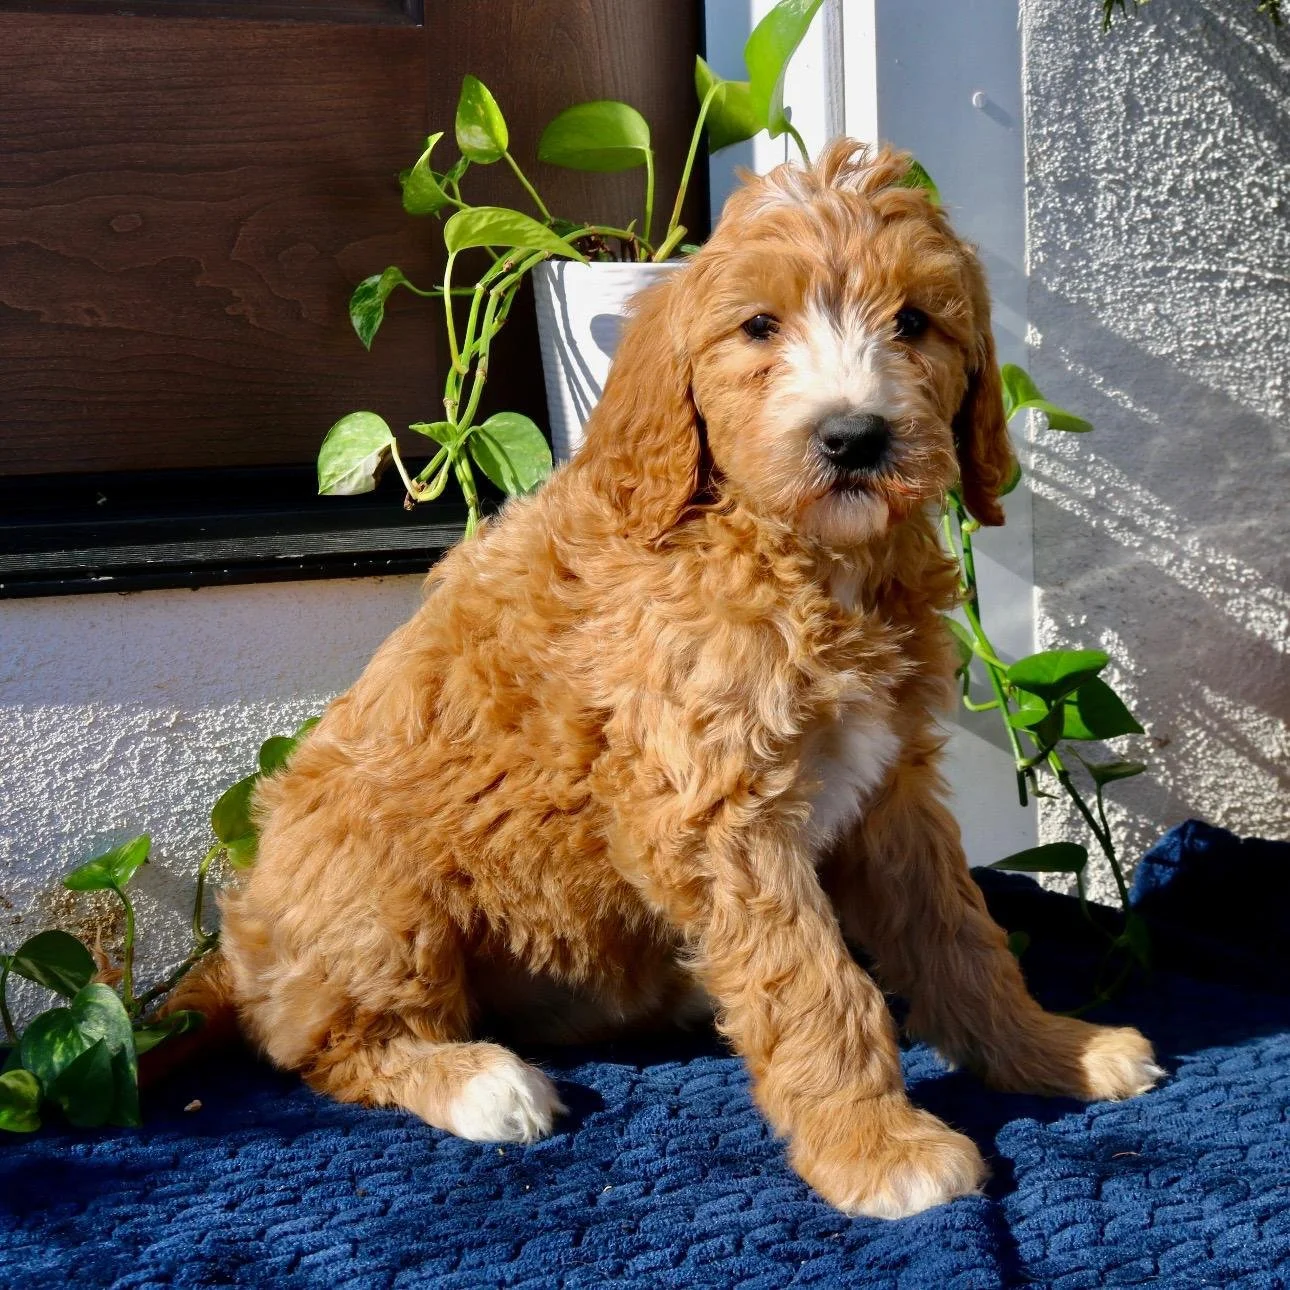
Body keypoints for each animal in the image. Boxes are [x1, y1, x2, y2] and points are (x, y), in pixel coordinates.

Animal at [178, 140, 1161, 1219]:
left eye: (914, 322)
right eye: (760, 326)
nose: (854, 437)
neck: (801, 559)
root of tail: (243, 956)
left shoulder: (891, 787)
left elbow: (961, 936)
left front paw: (1052, 1052)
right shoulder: (716, 809)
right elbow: (814, 983)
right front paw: (876, 1147)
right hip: (372, 892)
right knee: (326, 1044)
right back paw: (480, 1081)